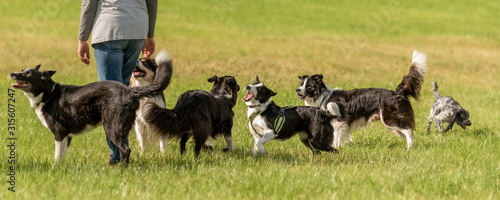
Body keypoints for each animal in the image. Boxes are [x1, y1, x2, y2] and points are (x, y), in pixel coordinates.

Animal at [9, 50, 173, 165]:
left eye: (28, 74)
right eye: (22, 70)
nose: (11, 73)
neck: (48, 93)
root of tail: (128, 91)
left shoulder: (59, 133)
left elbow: (56, 155)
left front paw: (54, 169)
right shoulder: (67, 136)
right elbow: (61, 156)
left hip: (112, 127)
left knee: (125, 149)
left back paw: (121, 169)